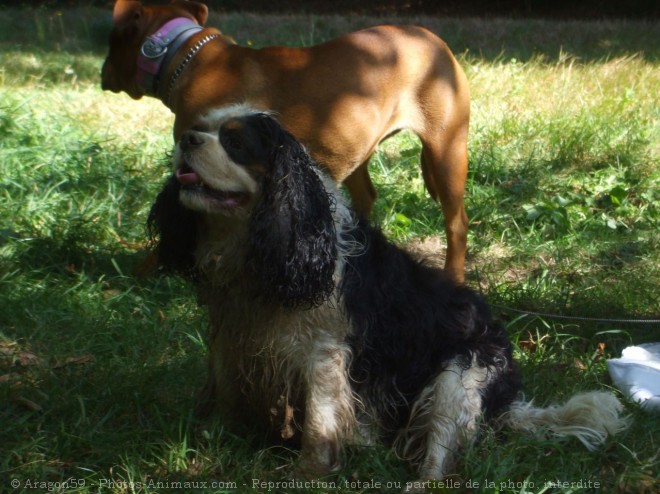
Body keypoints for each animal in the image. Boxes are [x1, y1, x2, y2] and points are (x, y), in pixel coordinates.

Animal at [102, 0, 470, 282]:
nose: (103, 69)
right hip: (357, 150)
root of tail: (432, 38)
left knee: (456, 223)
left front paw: (146, 269)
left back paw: (453, 276)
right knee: (365, 198)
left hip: (447, 151)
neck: (183, 54)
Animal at [150, 105, 628, 482]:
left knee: (439, 458)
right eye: (197, 127)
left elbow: (319, 423)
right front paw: (214, 443)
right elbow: (226, 393)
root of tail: (508, 402)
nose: (187, 139)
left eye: (234, 142)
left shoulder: (323, 354)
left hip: (457, 378)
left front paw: (307, 473)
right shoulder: (232, 338)